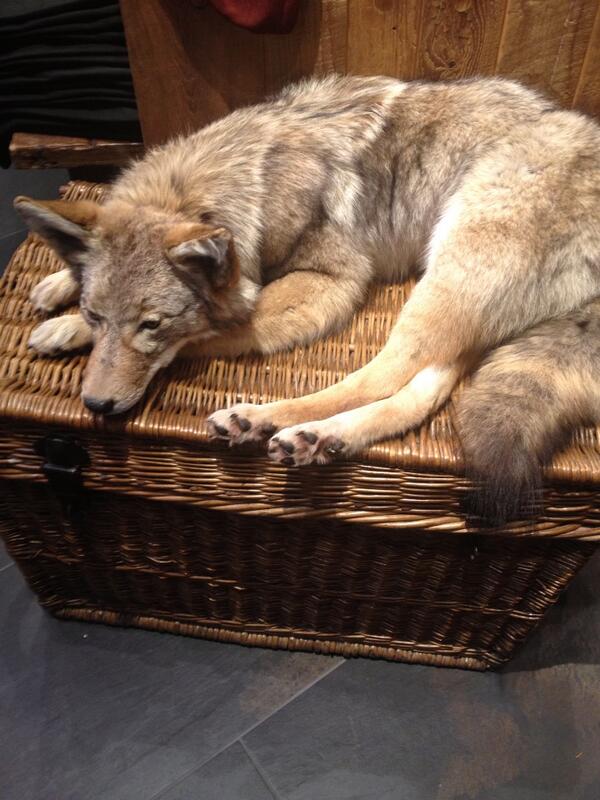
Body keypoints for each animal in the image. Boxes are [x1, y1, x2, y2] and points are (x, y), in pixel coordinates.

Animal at [13, 74, 600, 525]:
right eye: (97, 313)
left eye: (152, 325)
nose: (96, 406)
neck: (251, 179)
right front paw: (60, 295)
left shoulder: (328, 284)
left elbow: (208, 328)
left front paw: (66, 326)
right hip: (462, 308)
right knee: (422, 393)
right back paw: (322, 437)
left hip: (445, 283)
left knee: (379, 375)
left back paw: (270, 421)